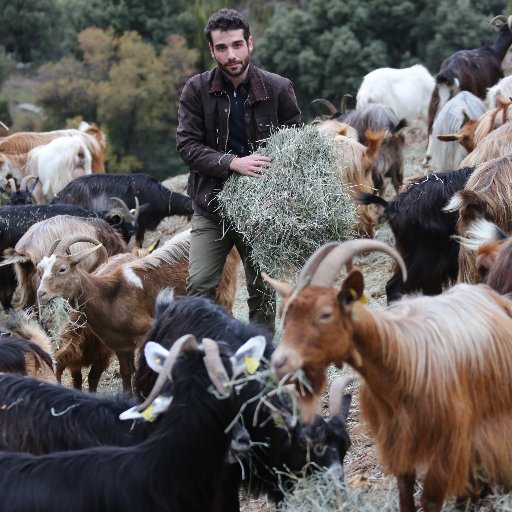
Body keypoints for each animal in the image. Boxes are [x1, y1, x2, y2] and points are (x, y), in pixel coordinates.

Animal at [36, 230, 240, 390]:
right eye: (40, 270)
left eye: (62, 269)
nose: (40, 293)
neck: (110, 296)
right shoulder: (120, 345)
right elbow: (126, 375)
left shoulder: (144, 334)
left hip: (223, 295)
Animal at [262, 240, 512, 512]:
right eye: (286, 314)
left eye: (325, 314)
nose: (279, 362)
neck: (401, 362)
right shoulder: (398, 444)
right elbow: (405, 494)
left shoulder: (447, 444)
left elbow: (430, 500)